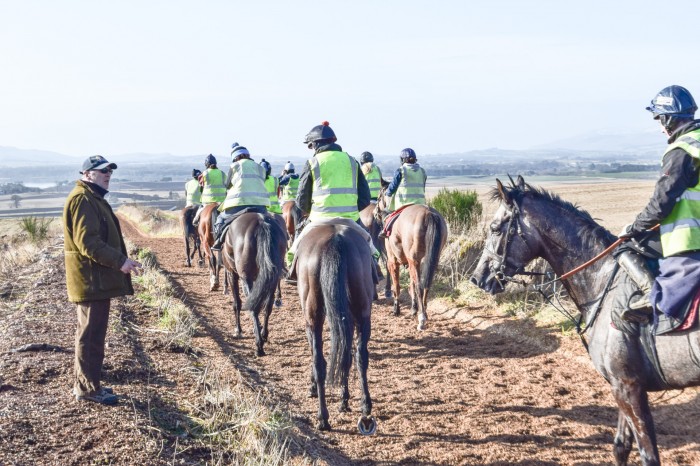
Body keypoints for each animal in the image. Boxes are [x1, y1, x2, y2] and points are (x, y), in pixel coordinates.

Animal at [221, 212, 287, 356]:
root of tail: (262, 222)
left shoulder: (232, 274)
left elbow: (237, 303)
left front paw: (238, 330)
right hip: (272, 278)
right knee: (267, 306)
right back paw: (264, 334)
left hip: (246, 278)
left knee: (253, 307)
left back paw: (259, 346)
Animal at [294, 223, 376, 434]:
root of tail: (336, 240)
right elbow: (345, 357)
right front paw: (344, 399)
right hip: (362, 312)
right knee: (360, 356)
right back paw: (365, 406)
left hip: (313, 316)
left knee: (319, 362)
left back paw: (323, 417)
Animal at [375, 187, 448, 330]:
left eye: (379, 197)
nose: (375, 211)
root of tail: (429, 214)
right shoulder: (410, 263)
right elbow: (411, 284)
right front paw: (414, 308)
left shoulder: (393, 262)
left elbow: (397, 286)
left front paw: (396, 309)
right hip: (430, 260)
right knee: (426, 283)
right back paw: (423, 312)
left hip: (413, 260)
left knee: (419, 285)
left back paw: (422, 318)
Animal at [470, 175, 700, 466]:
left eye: (495, 228)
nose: (477, 277)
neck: (602, 281)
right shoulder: (622, 385)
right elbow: (621, 446)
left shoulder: (628, 387)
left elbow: (648, 455)